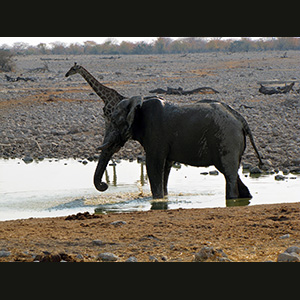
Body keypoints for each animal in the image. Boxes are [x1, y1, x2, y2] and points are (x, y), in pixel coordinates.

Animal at [93, 96, 262, 199]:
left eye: (114, 122)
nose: (105, 185)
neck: (138, 102)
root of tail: (240, 119)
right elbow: (165, 167)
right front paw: (165, 198)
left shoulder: (155, 133)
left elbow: (154, 165)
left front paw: (158, 199)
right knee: (232, 173)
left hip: (227, 138)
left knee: (229, 173)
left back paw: (232, 199)